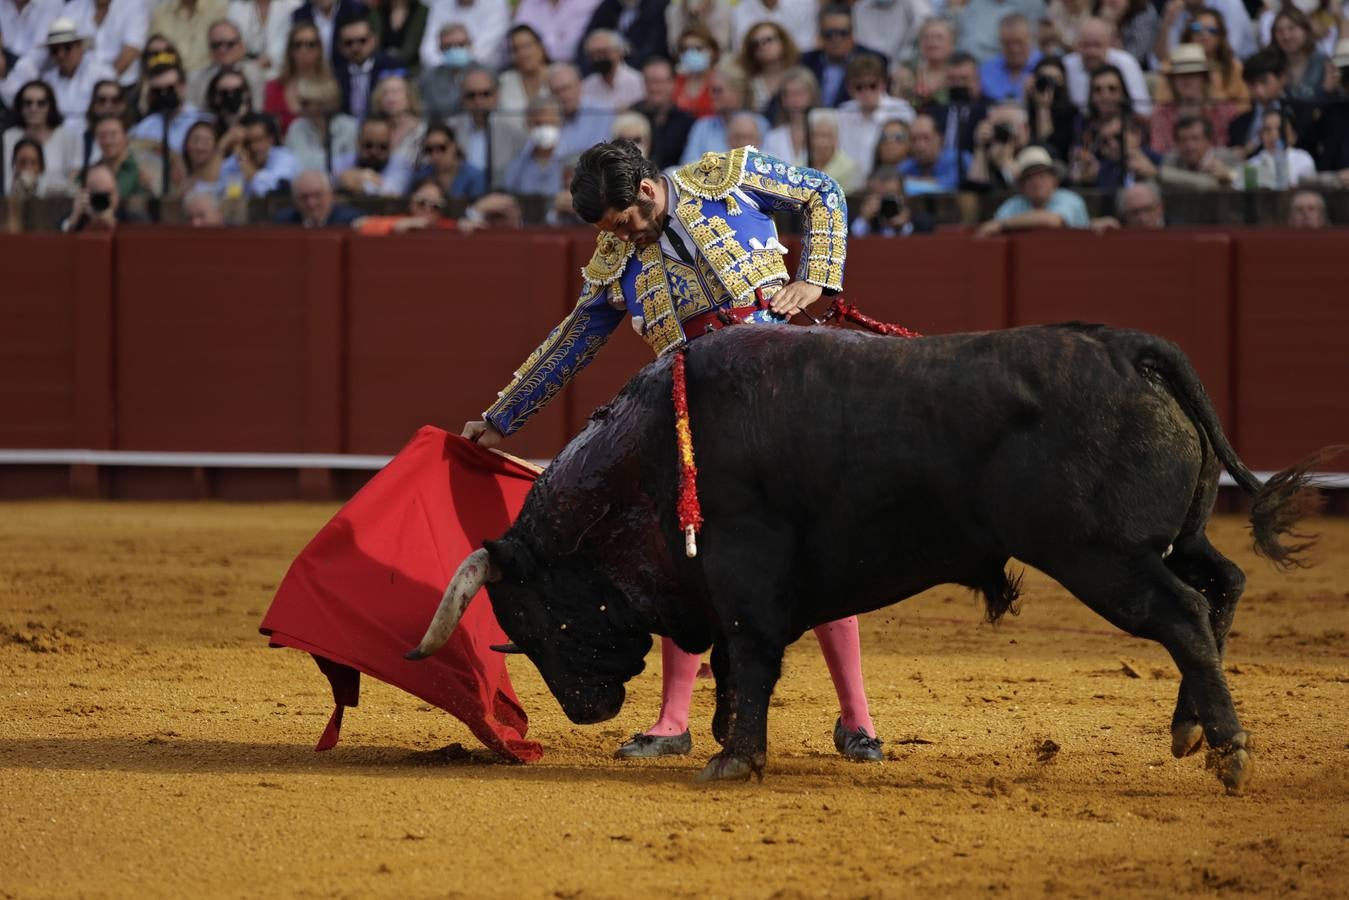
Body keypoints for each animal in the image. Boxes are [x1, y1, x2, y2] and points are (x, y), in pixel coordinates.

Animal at [402, 323, 1327, 793]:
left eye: (529, 614)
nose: (584, 710)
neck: (643, 456)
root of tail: (1125, 348)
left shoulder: (742, 567)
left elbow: (751, 654)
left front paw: (733, 759)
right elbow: (734, 662)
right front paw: (725, 740)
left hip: (1099, 555)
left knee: (1181, 615)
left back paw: (1227, 751)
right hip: (1171, 538)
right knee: (1221, 586)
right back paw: (1189, 731)